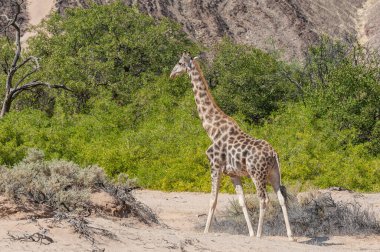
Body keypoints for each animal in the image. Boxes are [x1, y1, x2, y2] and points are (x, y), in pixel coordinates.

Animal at [170, 51, 294, 240]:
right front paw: (249, 232)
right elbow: (242, 201)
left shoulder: (214, 165)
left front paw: (206, 231)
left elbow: (213, 199)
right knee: (281, 197)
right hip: (274, 173)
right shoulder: (233, 173)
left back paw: (260, 235)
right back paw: (290, 235)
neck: (211, 129)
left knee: (263, 199)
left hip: (257, 174)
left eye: (179, 63)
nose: (171, 74)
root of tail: (273, 154)